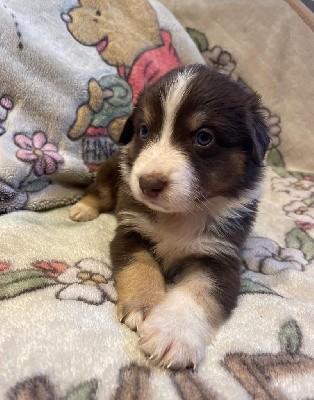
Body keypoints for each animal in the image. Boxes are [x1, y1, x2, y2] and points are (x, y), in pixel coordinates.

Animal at [69, 64, 270, 370]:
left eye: (204, 137)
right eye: (144, 130)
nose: (148, 183)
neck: (179, 214)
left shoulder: (219, 255)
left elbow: (199, 291)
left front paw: (173, 335)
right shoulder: (131, 230)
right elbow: (140, 266)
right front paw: (145, 307)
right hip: (110, 170)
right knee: (98, 191)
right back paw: (83, 209)